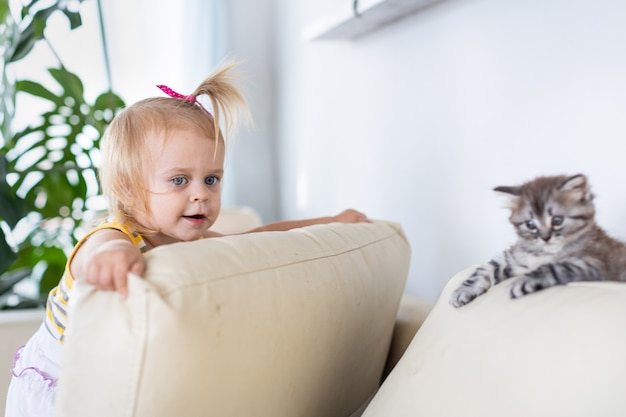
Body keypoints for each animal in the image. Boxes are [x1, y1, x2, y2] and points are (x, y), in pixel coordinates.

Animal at [450, 174, 626, 308]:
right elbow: (484, 269)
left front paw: (520, 283)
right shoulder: (513, 259)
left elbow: (552, 268)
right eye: (530, 224)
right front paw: (462, 291)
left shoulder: (593, 263)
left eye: (557, 220)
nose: (545, 237)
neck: (544, 253)